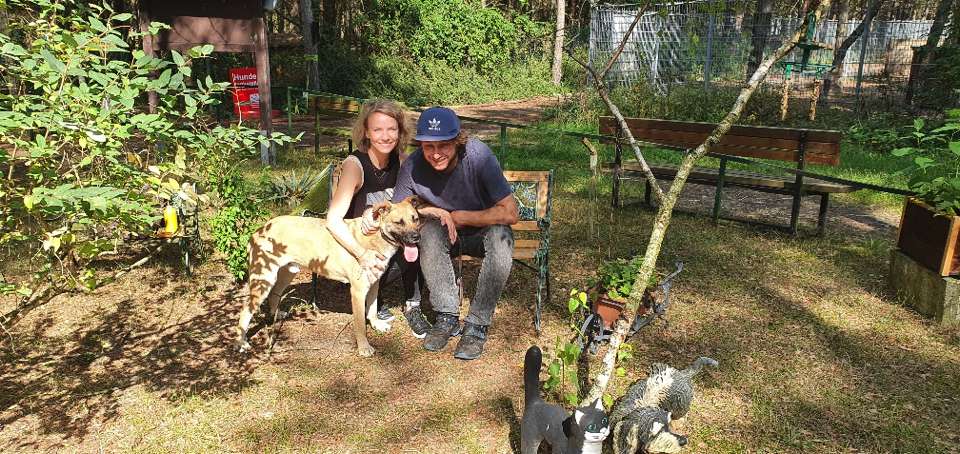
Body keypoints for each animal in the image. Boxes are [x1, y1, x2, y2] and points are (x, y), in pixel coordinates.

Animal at [236, 196, 423, 356]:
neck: (374, 238)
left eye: (415, 219)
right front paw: (363, 347)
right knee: (245, 310)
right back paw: (242, 342)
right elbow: (360, 324)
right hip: (263, 279)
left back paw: (277, 314)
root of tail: (260, 229)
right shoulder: (358, 291)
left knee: (274, 294)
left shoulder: (374, 283)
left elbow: (372, 308)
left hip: (286, 274)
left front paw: (376, 324)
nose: (417, 237)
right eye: (399, 222)